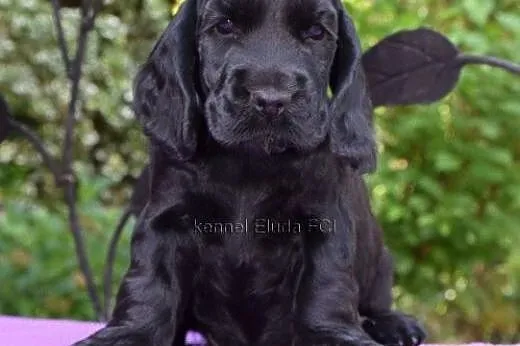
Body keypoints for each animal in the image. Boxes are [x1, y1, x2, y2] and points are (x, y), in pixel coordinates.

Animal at [75, 0, 424, 346]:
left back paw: (394, 324)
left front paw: (332, 336)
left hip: (381, 264)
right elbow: (150, 282)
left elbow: (325, 285)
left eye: (315, 32)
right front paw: (129, 334)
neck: (251, 159)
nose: (272, 100)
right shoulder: (166, 218)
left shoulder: (324, 222)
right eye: (225, 26)